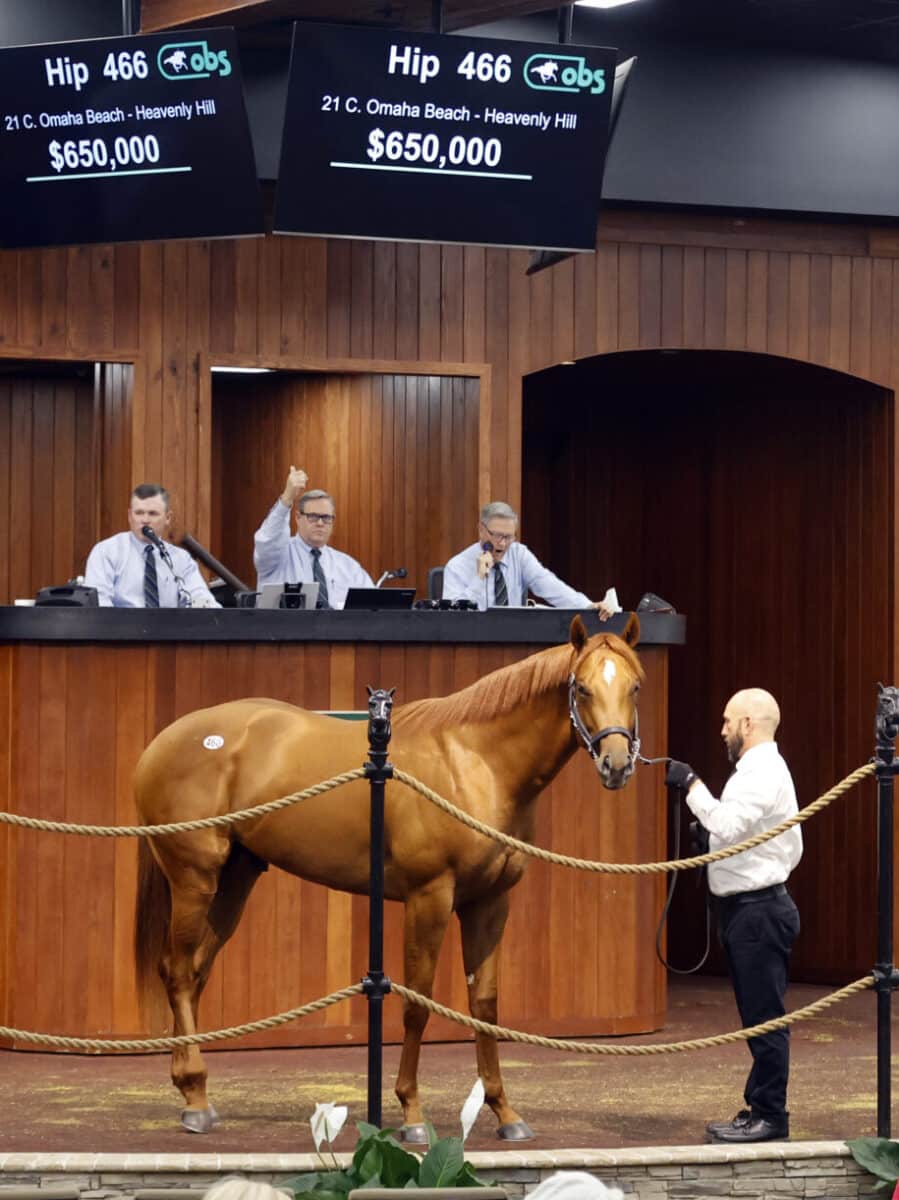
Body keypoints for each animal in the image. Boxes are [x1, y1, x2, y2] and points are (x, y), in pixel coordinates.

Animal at [133, 619, 643, 1132]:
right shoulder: (429, 897)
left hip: (236, 879)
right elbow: (417, 1002)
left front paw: (504, 1111)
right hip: (195, 879)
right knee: (178, 971)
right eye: (582, 688)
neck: (474, 762)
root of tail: (164, 741)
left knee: (197, 971)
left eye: (635, 686)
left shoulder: (490, 901)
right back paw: (195, 1098)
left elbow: (485, 1003)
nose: (617, 764)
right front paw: (411, 1110)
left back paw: (191, 1087)